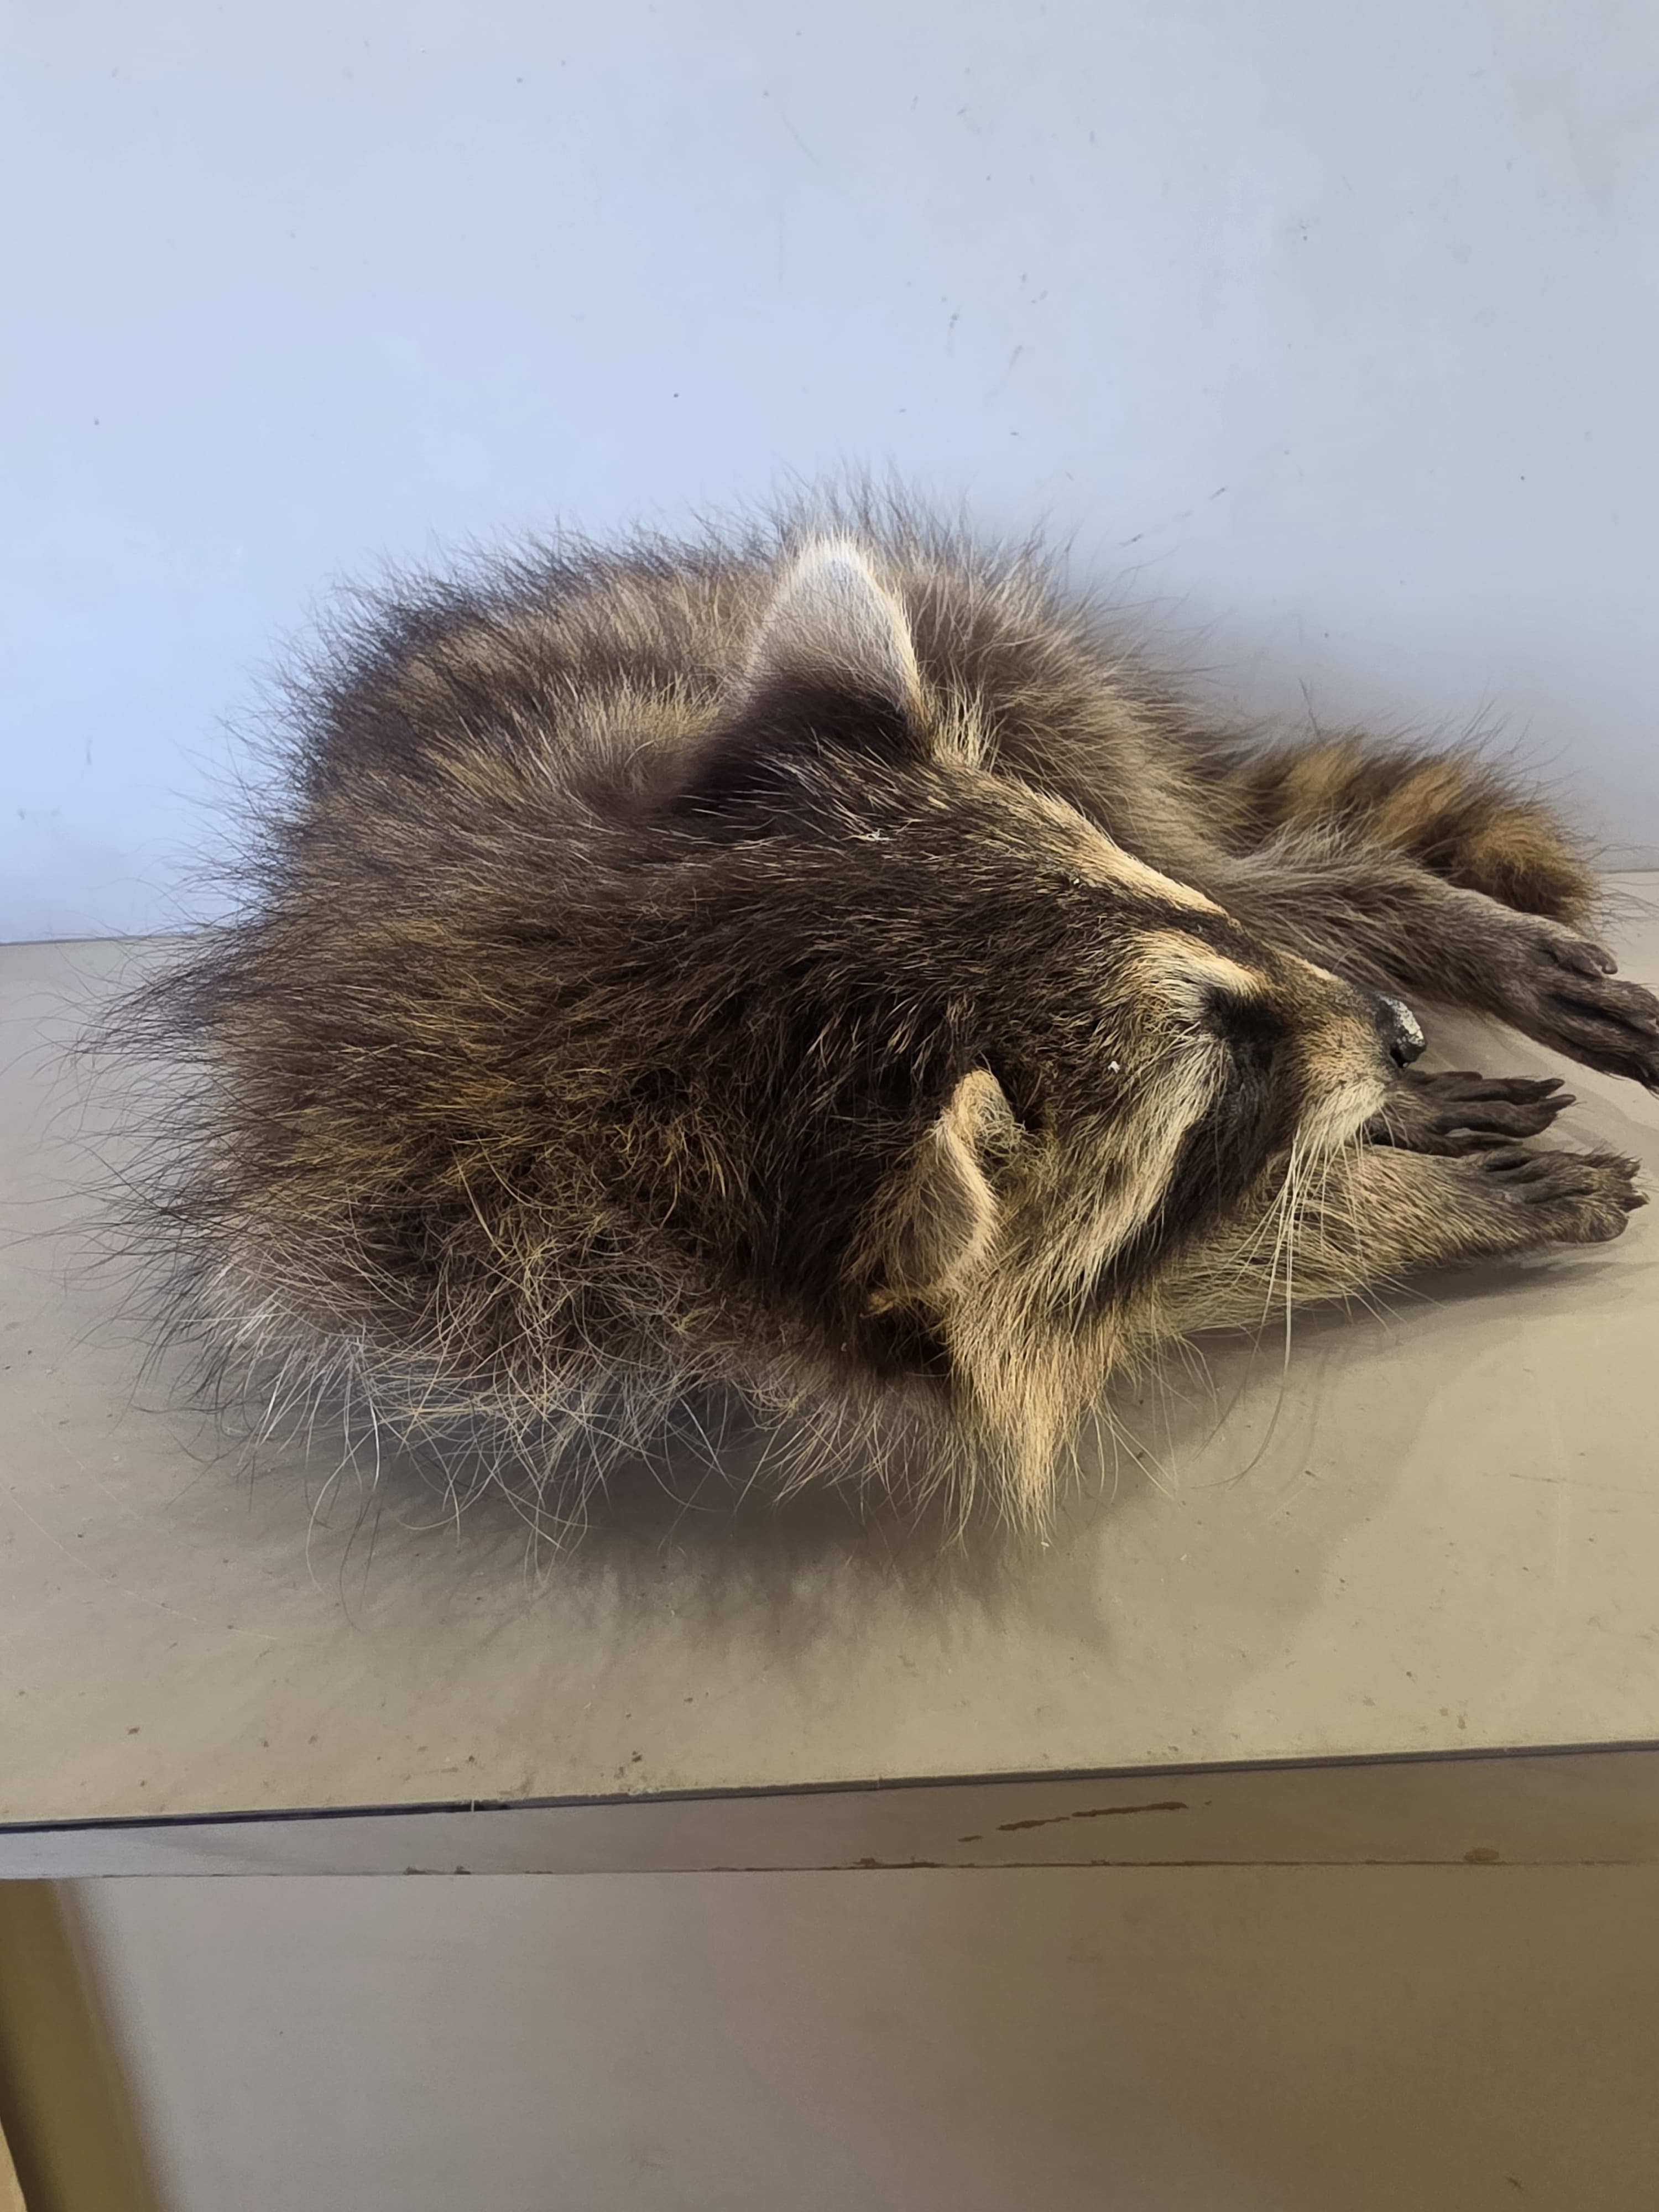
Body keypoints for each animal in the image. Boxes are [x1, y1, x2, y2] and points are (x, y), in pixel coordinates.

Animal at [119, 505, 1655, 1527]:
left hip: (1021, 671)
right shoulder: (490, 1279)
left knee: (1244, 860)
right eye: (1220, 1077)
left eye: (1206, 967)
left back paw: (1400, 920)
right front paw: (1367, 1194)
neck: (590, 974)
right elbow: (1064, 1306)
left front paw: (1370, 1144)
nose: (1395, 1035)